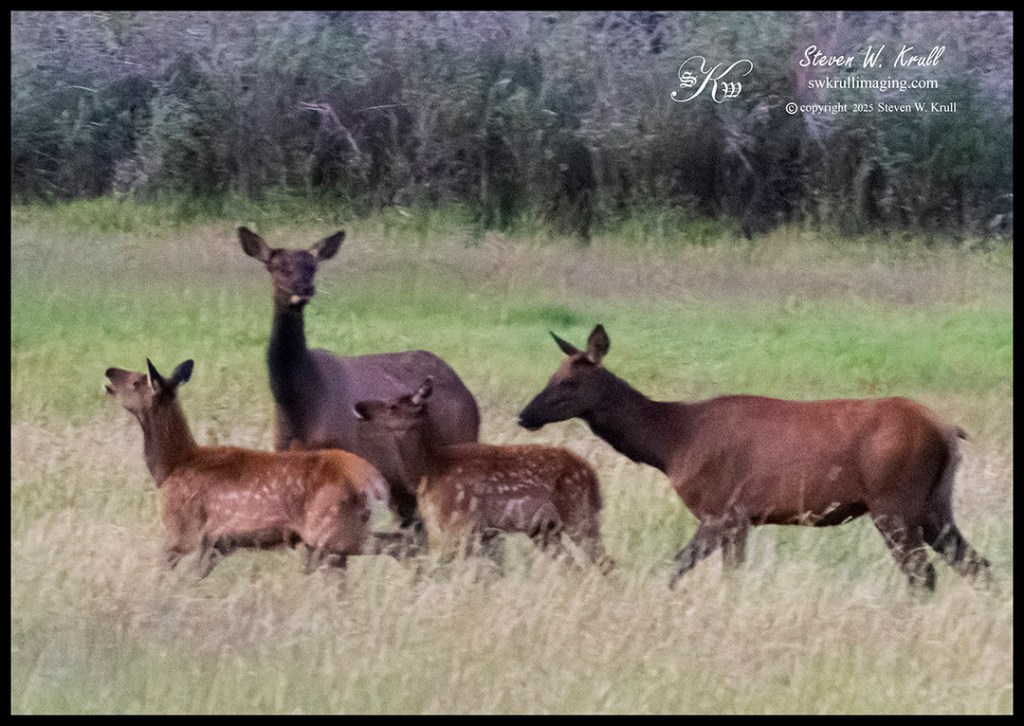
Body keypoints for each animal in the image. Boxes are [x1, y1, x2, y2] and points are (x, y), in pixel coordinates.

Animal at [105, 358, 390, 578]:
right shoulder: (215, 544)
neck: (172, 466)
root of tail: (374, 482)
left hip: (330, 529)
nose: (109, 371)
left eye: (138, 380)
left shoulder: (183, 528)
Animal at [353, 378, 614, 572]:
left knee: (604, 561)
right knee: (572, 565)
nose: (358, 406)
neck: (429, 470)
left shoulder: (460, 523)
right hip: (544, 529)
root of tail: (592, 476)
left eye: (393, 405)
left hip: (578, 514)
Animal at [517, 325, 993, 591]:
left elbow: (687, 568)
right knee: (976, 564)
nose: (525, 415)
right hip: (933, 504)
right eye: (551, 375)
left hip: (894, 501)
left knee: (923, 573)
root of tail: (947, 430)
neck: (672, 444)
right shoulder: (740, 518)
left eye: (570, 382)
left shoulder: (724, 509)